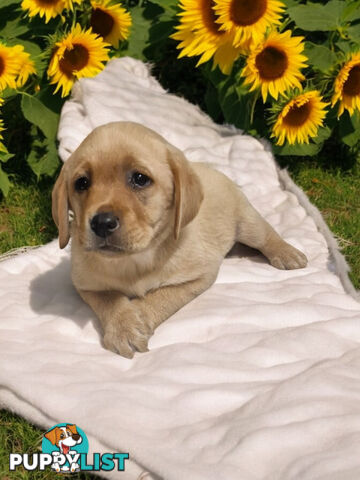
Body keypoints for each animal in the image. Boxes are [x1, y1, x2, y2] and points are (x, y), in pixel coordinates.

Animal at [52, 122, 306, 358]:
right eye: (82, 183)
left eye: (140, 179)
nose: (102, 223)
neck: (135, 261)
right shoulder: (85, 284)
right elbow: (110, 300)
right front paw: (124, 325)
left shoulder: (199, 276)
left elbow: (161, 297)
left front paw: (138, 317)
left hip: (247, 223)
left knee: (266, 234)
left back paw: (287, 253)